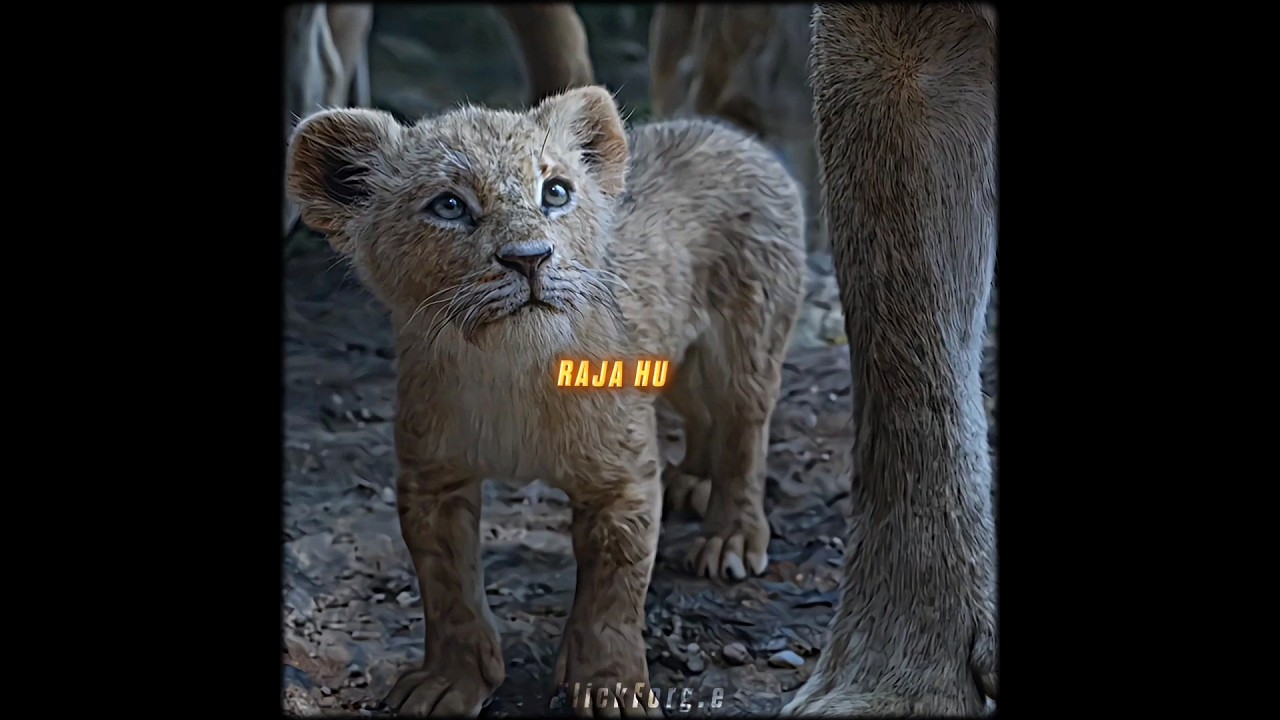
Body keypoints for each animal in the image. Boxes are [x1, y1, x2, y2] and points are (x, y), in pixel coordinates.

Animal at [284, 86, 806, 715]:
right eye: (449, 205)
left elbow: (613, 592)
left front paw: (610, 687)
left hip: (745, 344)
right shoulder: (430, 477)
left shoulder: (623, 478)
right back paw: (692, 482)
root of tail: (730, 134)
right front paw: (449, 681)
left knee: (744, 429)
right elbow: (446, 589)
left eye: (555, 191)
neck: (513, 373)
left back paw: (730, 535)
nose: (530, 258)